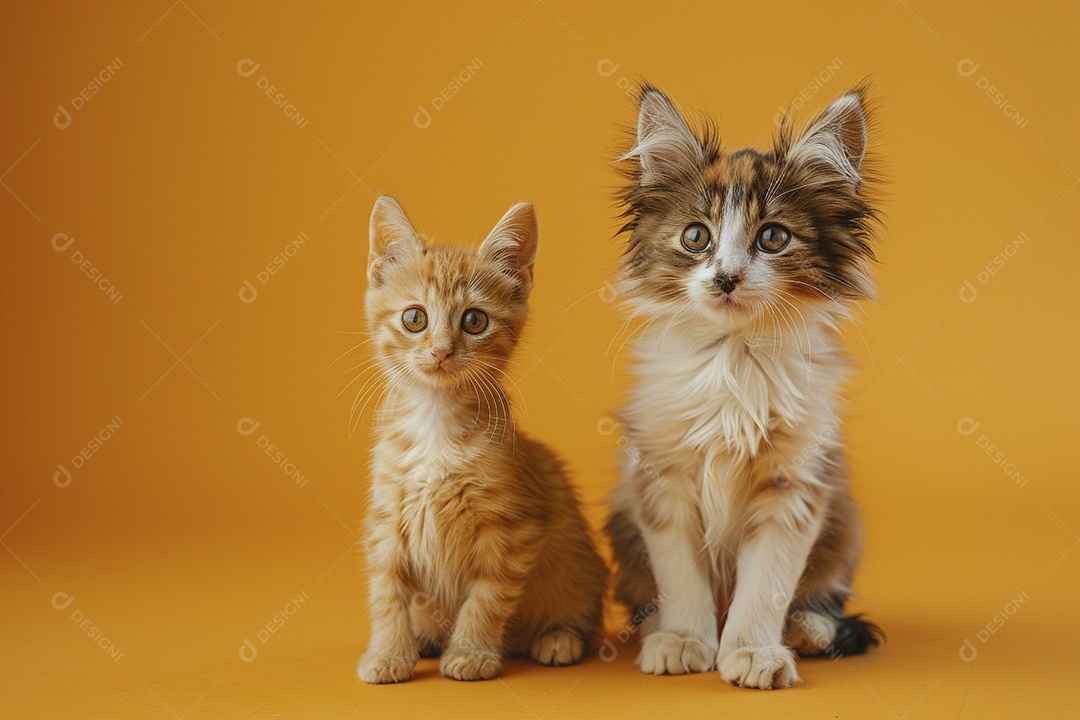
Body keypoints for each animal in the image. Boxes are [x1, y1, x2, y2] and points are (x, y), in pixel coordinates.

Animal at [356, 195, 604, 682]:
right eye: (414, 318)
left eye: (474, 320)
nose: (441, 351)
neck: (436, 422)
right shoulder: (387, 520)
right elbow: (385, 593)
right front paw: (388, 654)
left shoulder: (514, 527)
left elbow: (486, 598)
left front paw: (471, 652)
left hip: (580, 565)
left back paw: (558, 638)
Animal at [604, 87, 881, 690]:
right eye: (696, 237)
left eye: (772, 237)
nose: (726, 278)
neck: (734, 358)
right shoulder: (661, 479)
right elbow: (680, 575)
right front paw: (685, 640)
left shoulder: (796, 483)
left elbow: (768, 582)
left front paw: (753, 652)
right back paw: (657, 627)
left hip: (844, 531)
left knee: (820, 597)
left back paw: (809, 629)